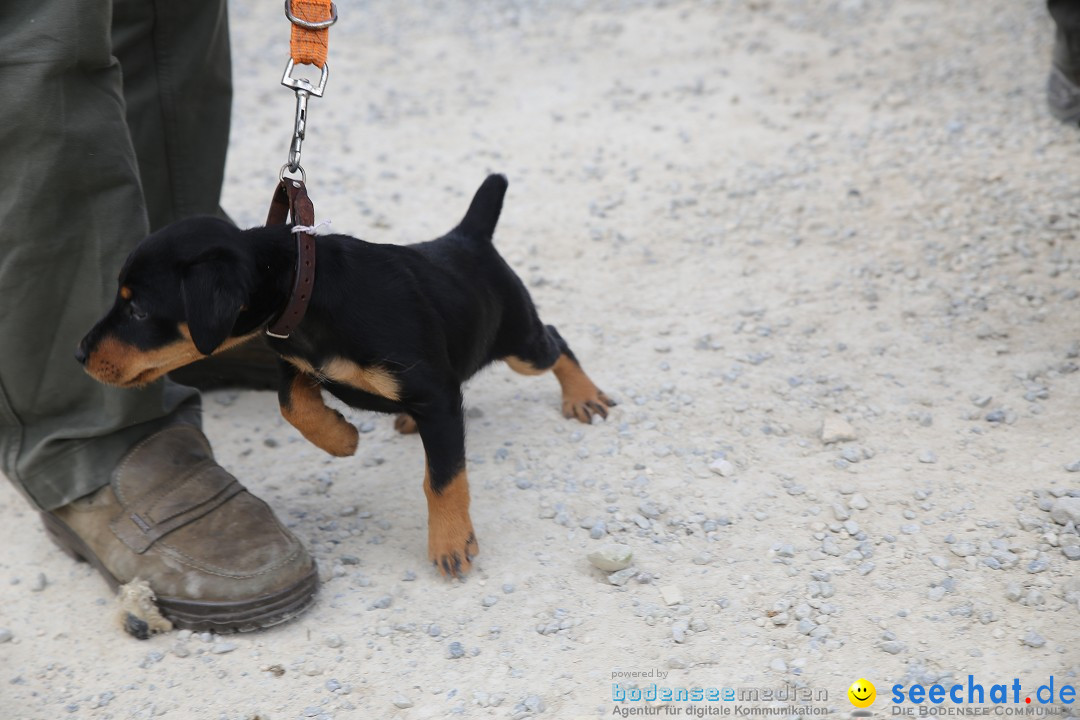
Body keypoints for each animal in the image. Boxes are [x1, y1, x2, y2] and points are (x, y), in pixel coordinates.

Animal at [76, 174, 617, 578]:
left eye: (139, 311)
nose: (79, 353)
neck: (308, 291)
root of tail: (466, 237)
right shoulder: (298, 363)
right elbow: (292, 406)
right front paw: (341, 438)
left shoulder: (436, 394)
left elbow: (443, 478)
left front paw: (450, 542)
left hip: (519, 342)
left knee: (555, 342)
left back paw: (583, 396)